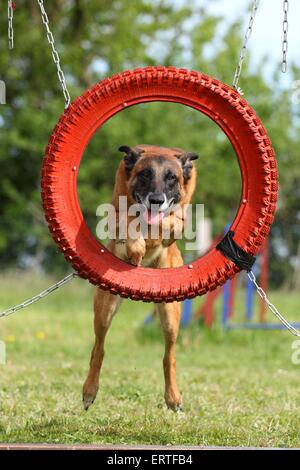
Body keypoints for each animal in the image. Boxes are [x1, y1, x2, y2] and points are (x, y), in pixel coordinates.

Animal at [83, 143, 198, 412]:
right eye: (145, 174)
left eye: (171, 178)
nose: (156, 200)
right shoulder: (116, 213)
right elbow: (126, 218)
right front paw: (136, 246)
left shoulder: (179, 216)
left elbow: (173, 221)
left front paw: (159, 230)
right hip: (105, 309)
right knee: (99, 348)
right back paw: (89, 391)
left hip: (170, 316)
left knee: (169, 355)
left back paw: (173, 398)